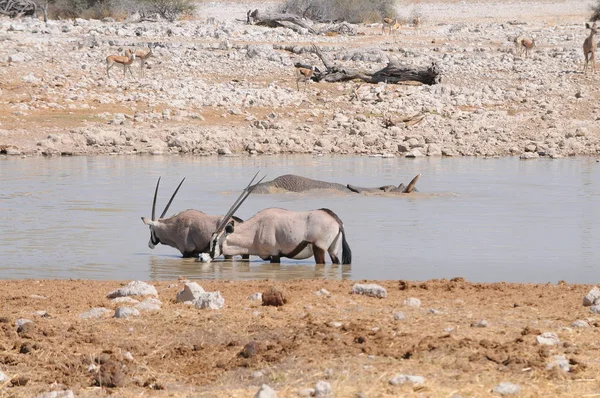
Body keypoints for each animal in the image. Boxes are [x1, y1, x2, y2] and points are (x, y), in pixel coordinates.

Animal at [205, 173, 352, 266]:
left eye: (214, 241)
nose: (203, 257)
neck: (256, 229)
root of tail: (336, 220)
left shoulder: (274, 254)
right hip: (333, 250)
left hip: (319, 249)